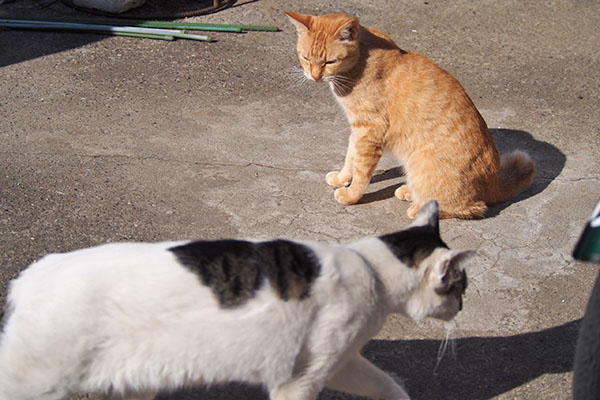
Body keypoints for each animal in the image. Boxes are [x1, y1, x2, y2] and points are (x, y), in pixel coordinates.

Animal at [0, 203, 472, 400]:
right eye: (462, 286)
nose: (463, 308)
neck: (370, 268)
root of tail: (31, 274)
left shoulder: (341, 364)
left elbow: (387, 385)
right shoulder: (299, 381)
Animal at [286, 11, 536, 219]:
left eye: (330, 61)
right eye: (305, 57)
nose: (314, 76)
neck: (360, 61)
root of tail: (493, 183)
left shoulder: (370, 130)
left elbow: (361, 170)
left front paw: (351, 195)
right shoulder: (358, 128)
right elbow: (350, 157)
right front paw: (342, 178)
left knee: (472, 208)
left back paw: (421, 207)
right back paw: (410, 191)